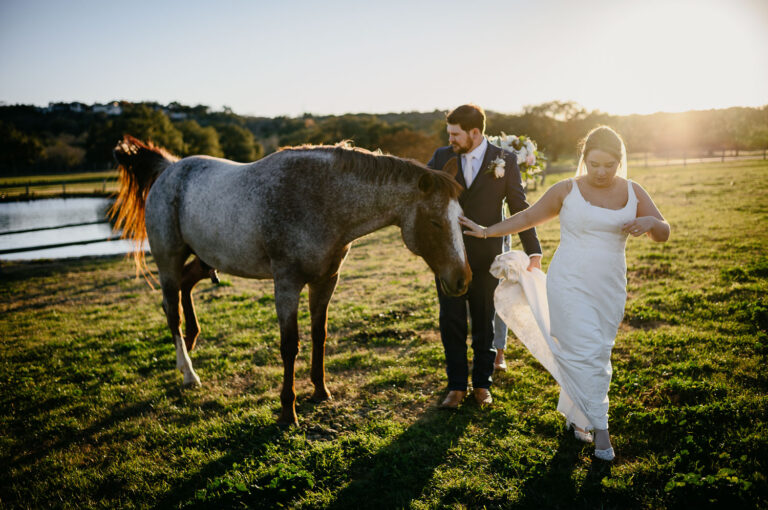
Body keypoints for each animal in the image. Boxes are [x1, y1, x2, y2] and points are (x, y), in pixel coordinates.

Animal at [107, 135, 468, 426]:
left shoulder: (326, 281)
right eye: (435, 222)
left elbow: (319, 335)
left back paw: (193, 342)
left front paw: (321, 390)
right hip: (167, 261)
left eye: (460, 217)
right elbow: (289, 345)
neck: (321, 199)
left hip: (205, 258)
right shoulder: (287, 284)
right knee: (171, 311)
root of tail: (169, 170)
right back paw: (188, 372)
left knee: (186, 287)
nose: (462, 279)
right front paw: (287, 412)